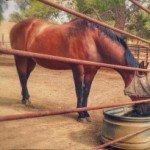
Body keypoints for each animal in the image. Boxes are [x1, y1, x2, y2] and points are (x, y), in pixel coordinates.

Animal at [9, 17, 150, 120]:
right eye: (144, 87)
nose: (145, 111)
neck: (92, 40)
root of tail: (15, 26)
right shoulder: (78, 68)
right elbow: (79, 91)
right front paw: (80, 115)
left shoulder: (92, 71)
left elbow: (86, 91)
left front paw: (86, 113)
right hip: (21, 58)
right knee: (22, 76)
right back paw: (26, 100)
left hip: (31, 61)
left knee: (25, 77)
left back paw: (25, 98)